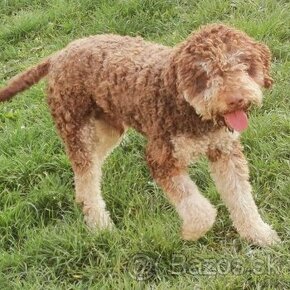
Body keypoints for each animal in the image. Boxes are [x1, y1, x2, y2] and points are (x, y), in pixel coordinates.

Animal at [0, 23, 280, 246]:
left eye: (244, 64)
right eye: (204, 74)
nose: (236, 100)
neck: (191, 111)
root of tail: (59, 55)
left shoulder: (225, 151)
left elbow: (242, 198)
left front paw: (259, 234)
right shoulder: (161, 157)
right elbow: (199, 210)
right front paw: (191, 232)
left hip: (107, 129)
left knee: (88, 172)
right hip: (77, 128)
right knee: (87, 177)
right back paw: (100, 225)